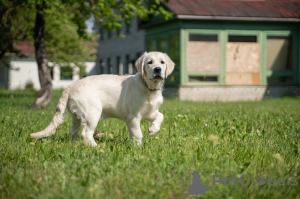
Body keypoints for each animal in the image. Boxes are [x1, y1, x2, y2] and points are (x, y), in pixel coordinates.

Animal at [29, 51, 175, 146]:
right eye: (149, 62)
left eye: (162, 62)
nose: (157, 69)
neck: (150, 89)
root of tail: (70, 86)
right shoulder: (133, 116)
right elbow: (137, 133)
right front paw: (139, 148)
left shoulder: (149, 111)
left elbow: (160, 116)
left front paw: (152, 130)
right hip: (92, 112)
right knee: (86, 133)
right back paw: (96, 148)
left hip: (77, 116)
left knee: (73, 132)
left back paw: (74, 146)